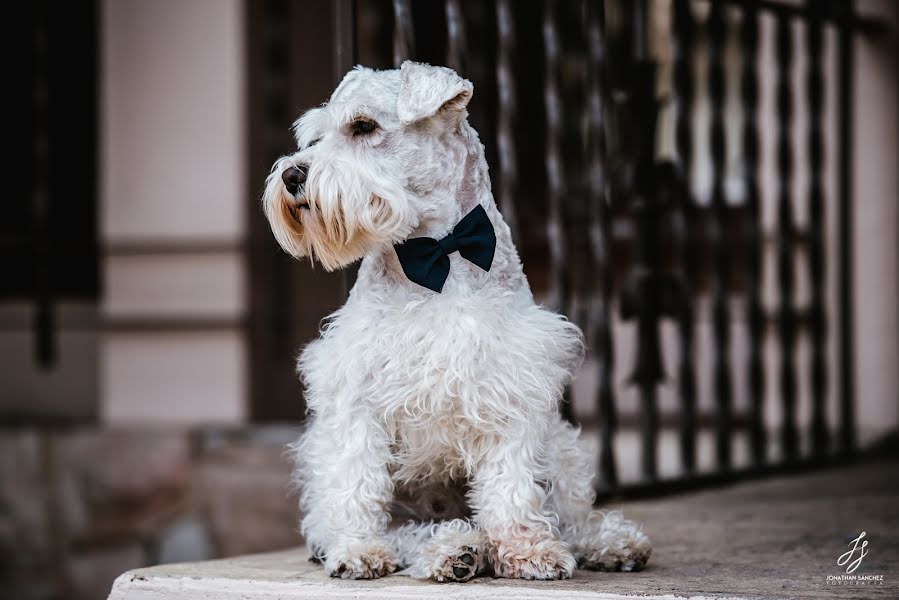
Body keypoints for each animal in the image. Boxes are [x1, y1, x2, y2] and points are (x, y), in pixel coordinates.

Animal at [264, 61, 652, 580]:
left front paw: (529, 550)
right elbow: (356, 482)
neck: (439, 252)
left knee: (569, 515)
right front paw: (357, 549)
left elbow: (512, 487)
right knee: (407, 532)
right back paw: (453, 551)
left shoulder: (513, 388)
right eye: (315, 134)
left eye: (363, 126)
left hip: (562, 448)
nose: (292, 175)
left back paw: (608, 542)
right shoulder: (354, 395)